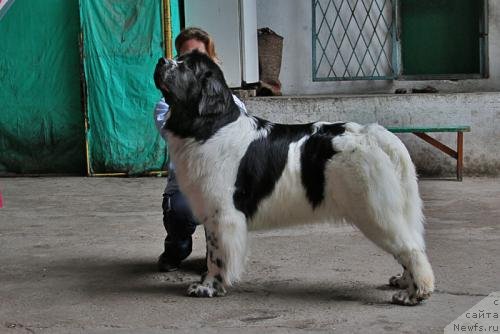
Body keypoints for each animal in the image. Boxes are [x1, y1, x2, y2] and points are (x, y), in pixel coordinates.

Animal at [152, 50, 434, 306]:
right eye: (178, 57)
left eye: (188, 67)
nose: (161, 60)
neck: (210, 126)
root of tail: (372, 133)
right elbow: (213, 249)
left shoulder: (222, 214)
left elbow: (217, 255)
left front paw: (208, 287)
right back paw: (403, 281)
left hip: (374, 210)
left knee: (410, 249)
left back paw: (414, 293)